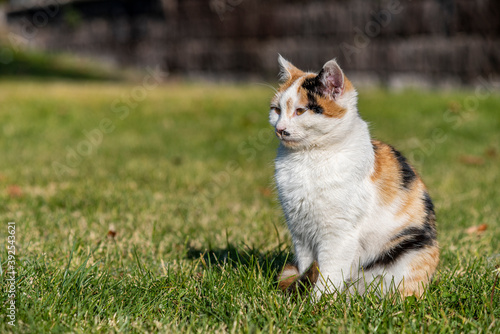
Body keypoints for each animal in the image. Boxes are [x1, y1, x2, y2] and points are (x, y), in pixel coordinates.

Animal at [272, 54, 440, 300]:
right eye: (276, 110)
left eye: (300, 111)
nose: (280, 128)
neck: (307, 158)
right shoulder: (299, 231)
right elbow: (306, 266)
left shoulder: (339, 232)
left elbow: (329, 272)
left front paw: (317, 303)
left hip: (411, 247)